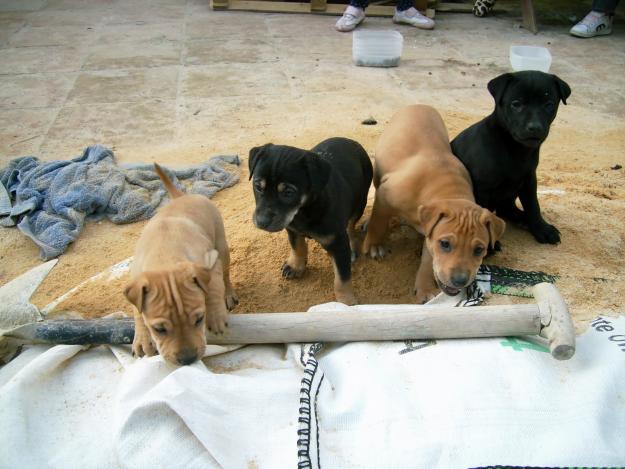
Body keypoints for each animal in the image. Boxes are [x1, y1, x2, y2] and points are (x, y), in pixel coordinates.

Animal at [123, 165, 238, 366]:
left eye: (200, 319)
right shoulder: (135, 277)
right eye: (159, 329)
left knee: (225, 274)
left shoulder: (211, 258)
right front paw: (143, 340)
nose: (188, 359)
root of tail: (182, 196)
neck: (165, 257)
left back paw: (229, 295)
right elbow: (137, 310)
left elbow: (214, 285)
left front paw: (216, 316)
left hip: (221, 245)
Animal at [249, 136, 372, 304]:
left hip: (360, 200)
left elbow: (342, 277)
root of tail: (351, 141)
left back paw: (352, 245)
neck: (304, 210)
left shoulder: (338, 242)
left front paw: (346, 302)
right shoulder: (292, 228)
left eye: (288, 192)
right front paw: (295, 266)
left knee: (351, 225)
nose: (261, 222)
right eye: (258, 186)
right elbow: (297, 246)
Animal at [364, 103, 504, 302]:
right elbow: (379, 222)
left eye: (479, 250)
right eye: (445, 244)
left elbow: (428, 262)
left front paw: (424, 288)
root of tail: (420, 105)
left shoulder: (431, 236)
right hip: (379, 171)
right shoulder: (385, 194)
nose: (460, 281)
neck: (448, 190)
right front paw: (374, 245)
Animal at [448, 71, 572, 245]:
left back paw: (522, 218)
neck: (513, 147)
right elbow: (482, 214)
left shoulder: (529, 179)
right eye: (516, 104)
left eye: (549, 104)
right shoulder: (482, 187)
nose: (535, 127)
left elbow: (533, 205)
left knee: (506, 209)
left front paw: (542, 229)